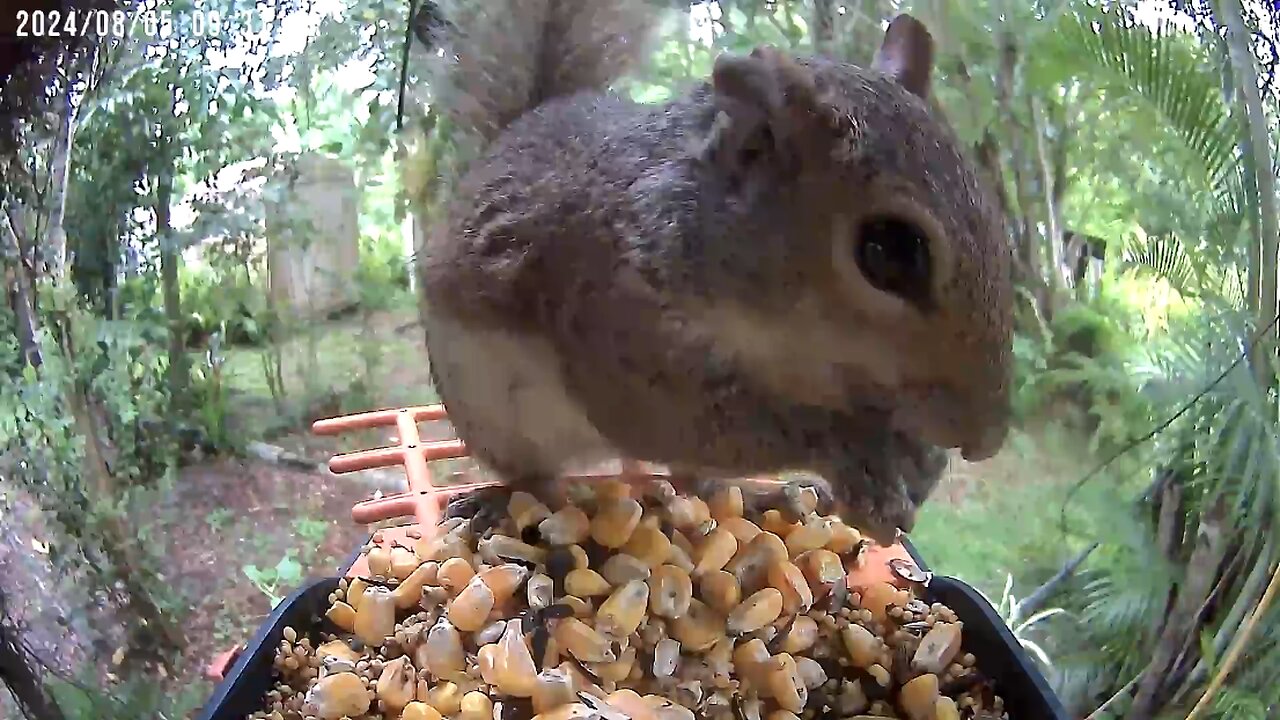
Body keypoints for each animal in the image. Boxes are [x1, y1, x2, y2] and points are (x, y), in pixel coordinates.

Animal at [419, 0, 1008, 540]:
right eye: (887, 251)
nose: (985, 440)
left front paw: (916, 460)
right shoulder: (614, 324)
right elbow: (687, 421)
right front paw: (854, 451)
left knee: (693, 480)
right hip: (489, 413)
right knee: (537, 476)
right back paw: (504, 499)